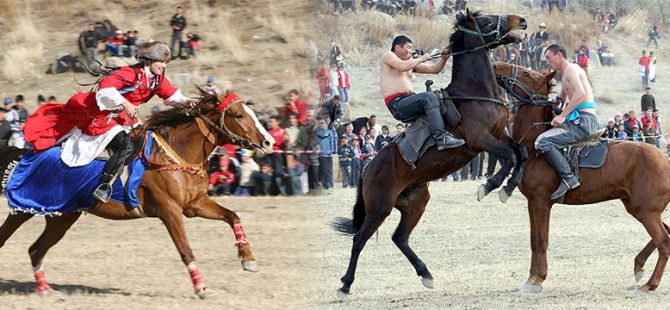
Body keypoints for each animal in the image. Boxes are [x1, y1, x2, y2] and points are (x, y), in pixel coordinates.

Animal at [0, 89, 276, 298]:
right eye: (239, 115)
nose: (269, 142)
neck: (176, 153)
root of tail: (25, 152)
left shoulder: (195, 205)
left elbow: (233, 216)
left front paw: (248, 259)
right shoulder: (170, 211)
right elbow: (186, 250)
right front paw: (202, 289)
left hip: (63, 216)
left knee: (36, 250)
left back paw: (44, 289)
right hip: (23, 208)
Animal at [332, 9, 532, 296]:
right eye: (485, 21)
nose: (521, 21)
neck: (474, 93)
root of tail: (367, 169)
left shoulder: (499, 134)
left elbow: (520, 153)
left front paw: (509, 186)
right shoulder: (479, 140)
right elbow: (509, 156)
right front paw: (490, 186)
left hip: (415, 202)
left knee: (399, 237)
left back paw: (425, 273)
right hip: (379, 207)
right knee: (360, 239)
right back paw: (346, 284)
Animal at [494, 62, 670, 296]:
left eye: (526, 73)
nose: (496, 65)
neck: (534, 148)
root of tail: (665, 160)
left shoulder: (540, 202)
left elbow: (540, 241)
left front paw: (536, 280)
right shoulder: (533, 203)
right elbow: (534, 240)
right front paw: (533, 277)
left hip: (646, 211)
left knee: (664, 242)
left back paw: (648, 285)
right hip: (637, 207)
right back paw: (639, 266)